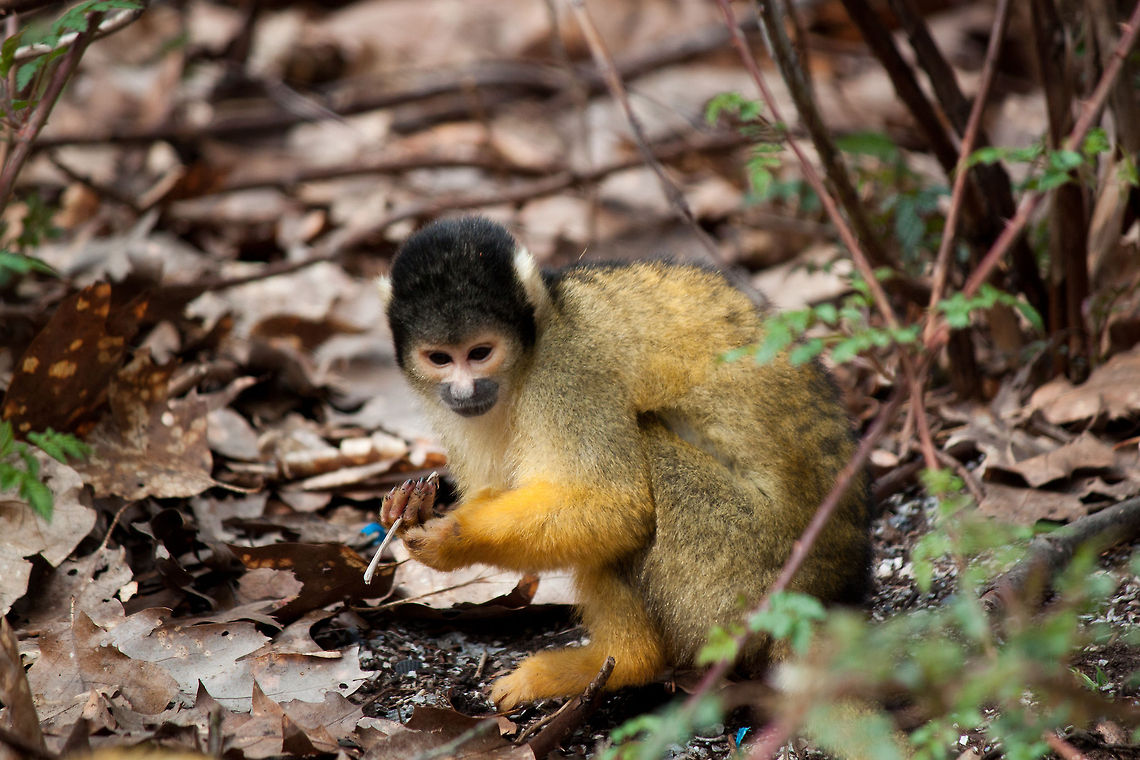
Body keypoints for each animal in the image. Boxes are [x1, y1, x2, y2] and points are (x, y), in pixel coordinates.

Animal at [376, 216, 872, 711]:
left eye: (480, 352)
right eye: (440, 358)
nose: (464, 391)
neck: (534, 345)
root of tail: (812, 596)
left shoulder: (569, 373)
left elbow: (617, 507)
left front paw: (453, 539)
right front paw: (411, 510)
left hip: (740, 573)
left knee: (645, 460)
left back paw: (624, 662)